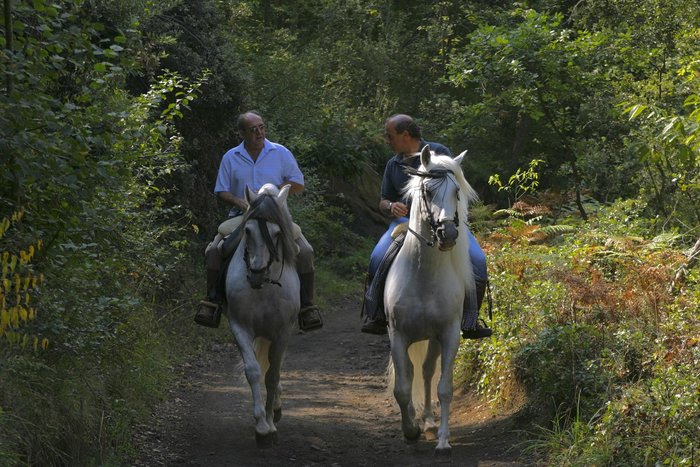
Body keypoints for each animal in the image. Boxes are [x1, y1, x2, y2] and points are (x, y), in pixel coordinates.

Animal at [226, 182, 300, 446]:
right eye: (247, 231)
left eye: (277, 234)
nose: (256, 274)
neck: (264, 287)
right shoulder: (239, 326)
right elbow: (254, 371)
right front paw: (260, 425)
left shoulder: (283, 332)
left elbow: (272, 376)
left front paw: (270, 424)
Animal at [386, 145, 478, 458]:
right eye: (427, 190)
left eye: (456, 192)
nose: (447, 234)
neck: (424, 274)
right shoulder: (398, 335)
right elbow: (402, 388)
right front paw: (409, 431)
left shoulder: (449, 334)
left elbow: (444, 388)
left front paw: (443, 441)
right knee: (415, 373)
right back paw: (418, 422)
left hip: (434, 339)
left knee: (426, 372)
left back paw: (427, 420)